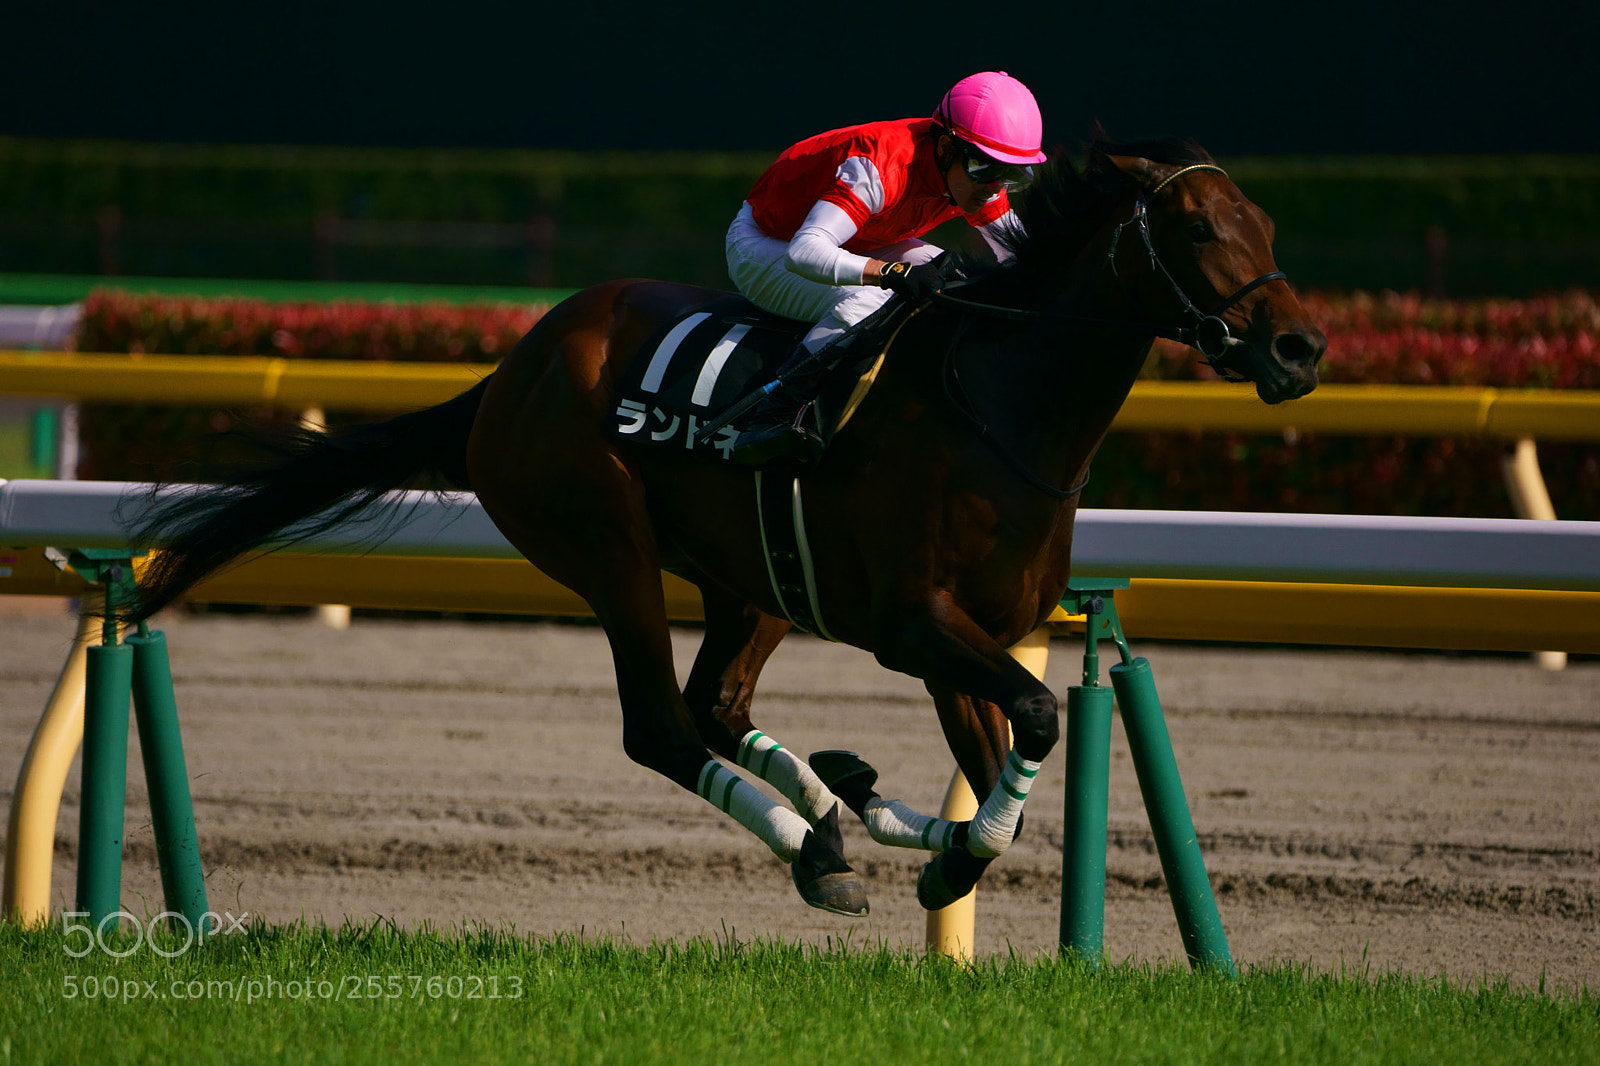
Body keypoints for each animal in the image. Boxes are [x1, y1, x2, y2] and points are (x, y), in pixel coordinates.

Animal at [123, 130, 1325, 919]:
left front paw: (913, 827)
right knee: (660, 722)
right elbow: (1031, 720)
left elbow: (1010, 773)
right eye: (1197, 226)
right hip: (605, 544)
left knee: (716, 703)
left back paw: (836, 813)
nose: (1300, 348)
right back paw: (810, 842)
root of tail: (509, 372)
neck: (997, 407)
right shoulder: (913, 623)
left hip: (755, 577)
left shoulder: (969, 635)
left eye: (1268, 222)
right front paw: (933, 851)